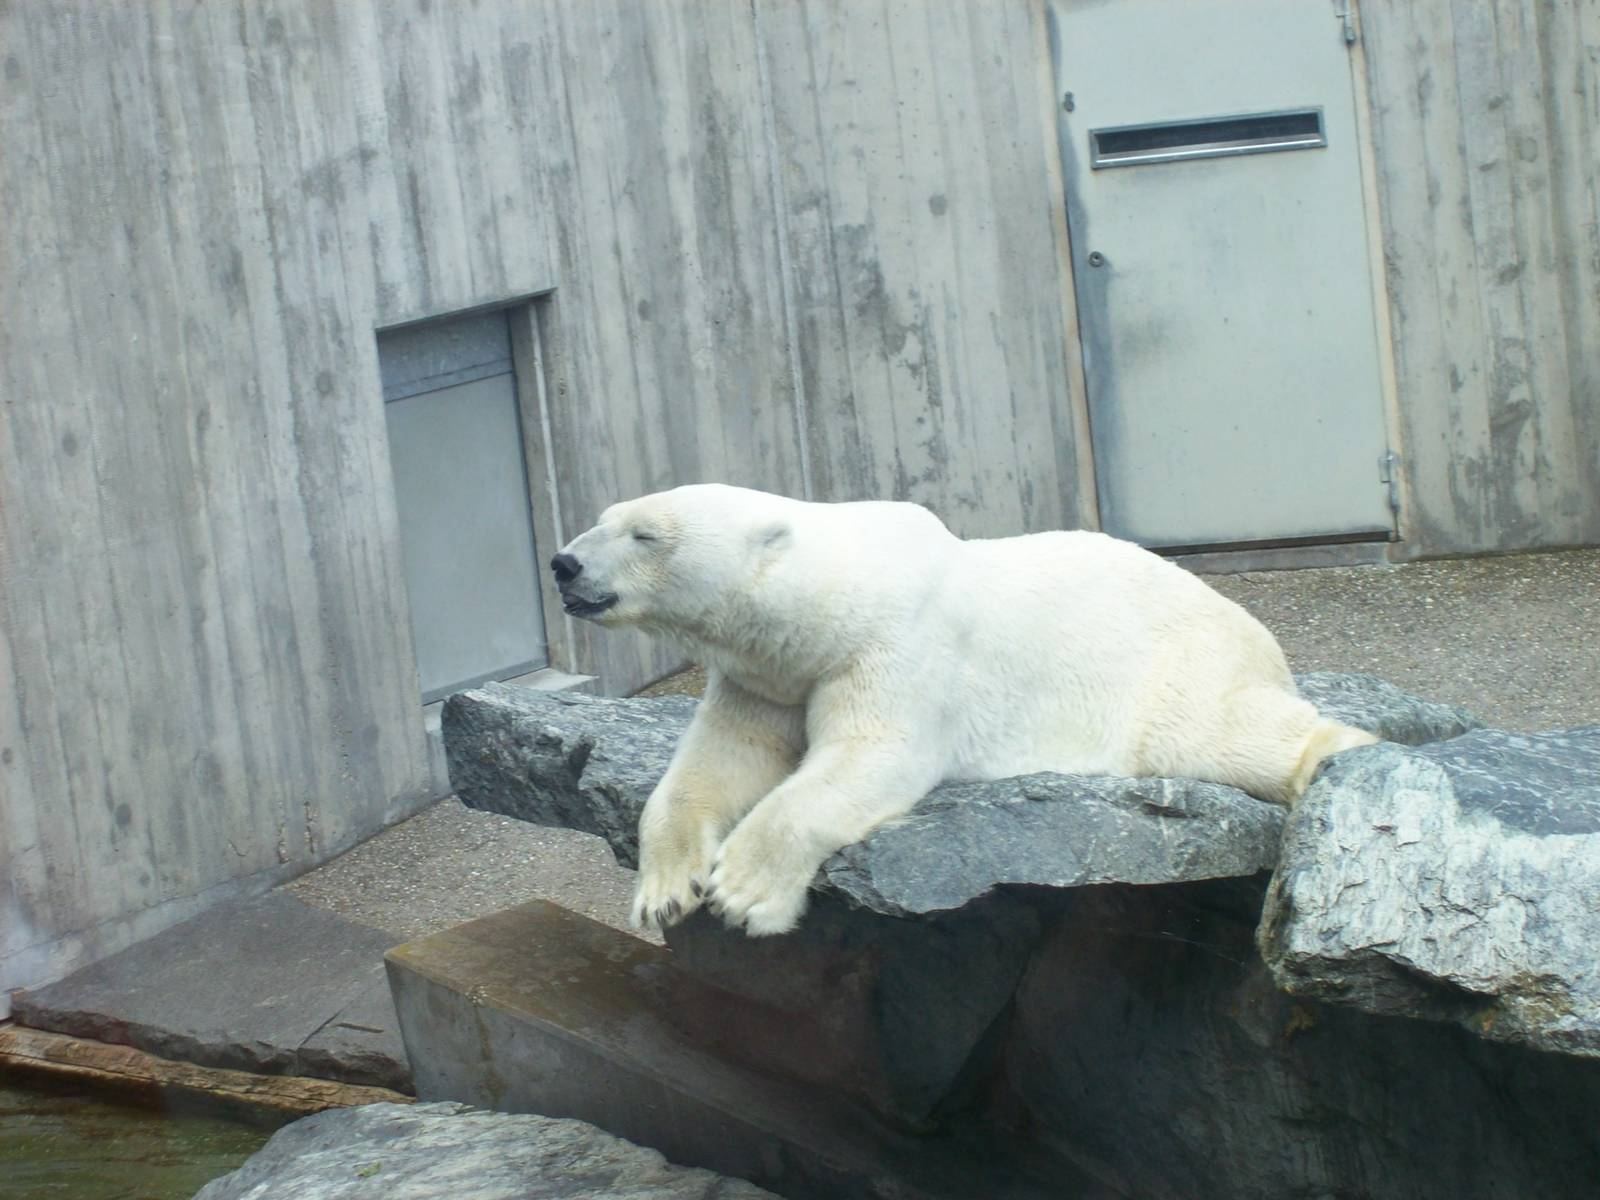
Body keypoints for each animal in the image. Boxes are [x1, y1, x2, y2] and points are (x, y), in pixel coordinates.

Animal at [550, 484, 1377, 937]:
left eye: (645, 533)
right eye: (602, 516)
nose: (564, 562)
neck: (833, 599)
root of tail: (1260, 637)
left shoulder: (897, 645)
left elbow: (872, 755)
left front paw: (745, 894)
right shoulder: (768, 675)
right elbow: (719, 762)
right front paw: (665, 891)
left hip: (1175, 671)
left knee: (1221, 733)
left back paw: (1338, 756)